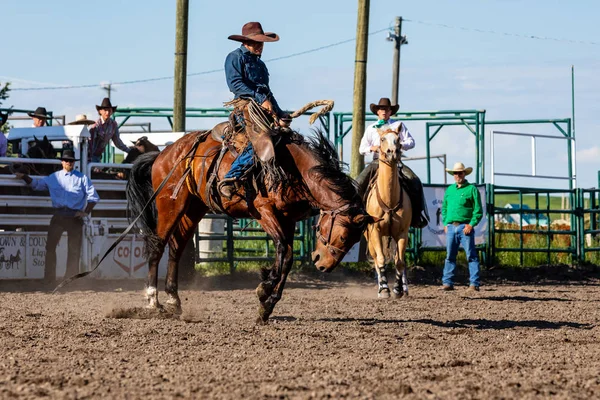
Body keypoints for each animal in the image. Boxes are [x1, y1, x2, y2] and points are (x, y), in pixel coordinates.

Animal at [125, 102, 370, 322]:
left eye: (355, 241)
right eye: (344, 236)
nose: (322, 265)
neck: (294, 167)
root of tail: (164, 153)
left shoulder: (288, 218)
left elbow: (288, 257)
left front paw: (266, 306)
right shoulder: (264, 211)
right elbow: (283, 249)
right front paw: (264, 289)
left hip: (193, 207)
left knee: (176, 247)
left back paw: (174, 301)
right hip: (169, 204)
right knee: (158, 245)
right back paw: (153, 301)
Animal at [366, 127, 412, 296]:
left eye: (398, 139)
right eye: (382, 139)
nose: (393, 152)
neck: (389, 199)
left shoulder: (402, 233)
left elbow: (399, 262)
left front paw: (397, 289)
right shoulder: (375, 231)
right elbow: (380, 259)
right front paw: (385, 289)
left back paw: (404, 288)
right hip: (369, 238)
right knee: (376, 260)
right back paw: (381, 286)